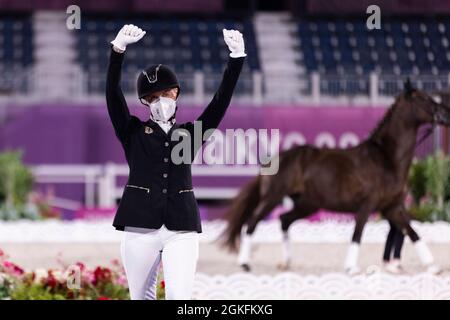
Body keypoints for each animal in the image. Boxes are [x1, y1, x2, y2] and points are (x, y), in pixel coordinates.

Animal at [221, 81, 450, 274]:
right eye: (424, 99)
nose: (446, 115)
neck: (386, 158)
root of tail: (275, 158)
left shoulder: (391, 207)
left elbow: (412, 232)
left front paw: (433, 266)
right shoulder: (367, 205)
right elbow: (358, 234)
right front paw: (351, 267)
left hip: (307, 204)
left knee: (284, 220)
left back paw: (286, 262)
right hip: (273, 197)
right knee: (252, 223)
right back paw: (245, 263)